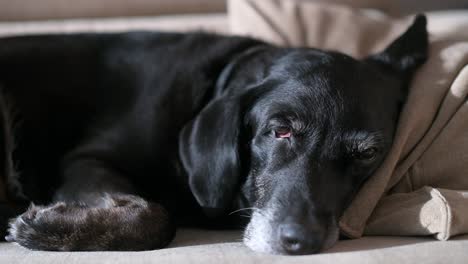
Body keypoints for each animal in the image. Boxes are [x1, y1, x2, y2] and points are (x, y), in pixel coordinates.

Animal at [0, 14, 428, 256]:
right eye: (280, 130)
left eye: (367, 153)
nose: (301, 242)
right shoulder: (85, 160)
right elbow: (156, 216)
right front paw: (45, 229)